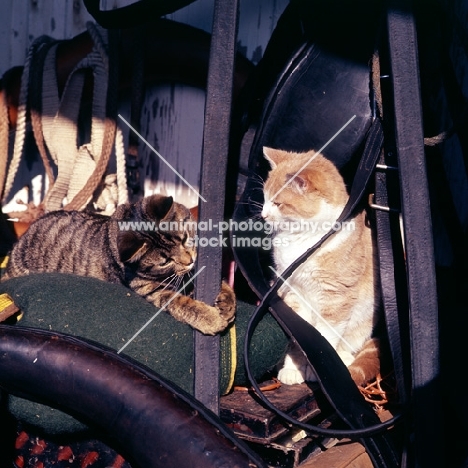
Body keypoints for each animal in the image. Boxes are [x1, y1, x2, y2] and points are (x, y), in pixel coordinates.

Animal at [3, 195, 236, 336]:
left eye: (184, 238)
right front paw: (209, 318)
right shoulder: (152, 290)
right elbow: (181, 303)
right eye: (165, 261)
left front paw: (226, 299)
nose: (189, 260)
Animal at [262, 147, 382, 388]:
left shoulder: (336, 298)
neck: (304, 241)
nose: (263, 215)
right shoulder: (290, 292)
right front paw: (294, 368)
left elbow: (325, 337)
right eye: (265, 198)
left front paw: (319, 368)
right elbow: (299, 337)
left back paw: (343, 359)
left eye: (278, 203)